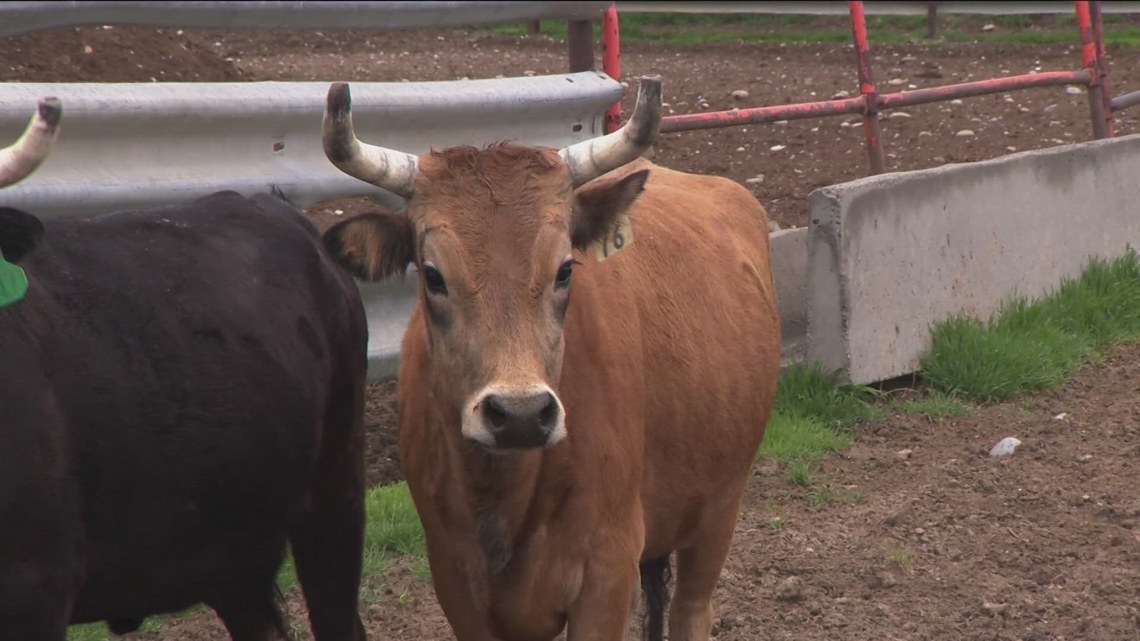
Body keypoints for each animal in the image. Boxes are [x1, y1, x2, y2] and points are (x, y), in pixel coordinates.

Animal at [319, 75, 781, 641]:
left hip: (719, 509)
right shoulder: (454, 580)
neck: (504, 499)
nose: (519, 414)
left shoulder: (608, 572)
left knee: (690, 609)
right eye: (432, 275)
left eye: (564, 269)